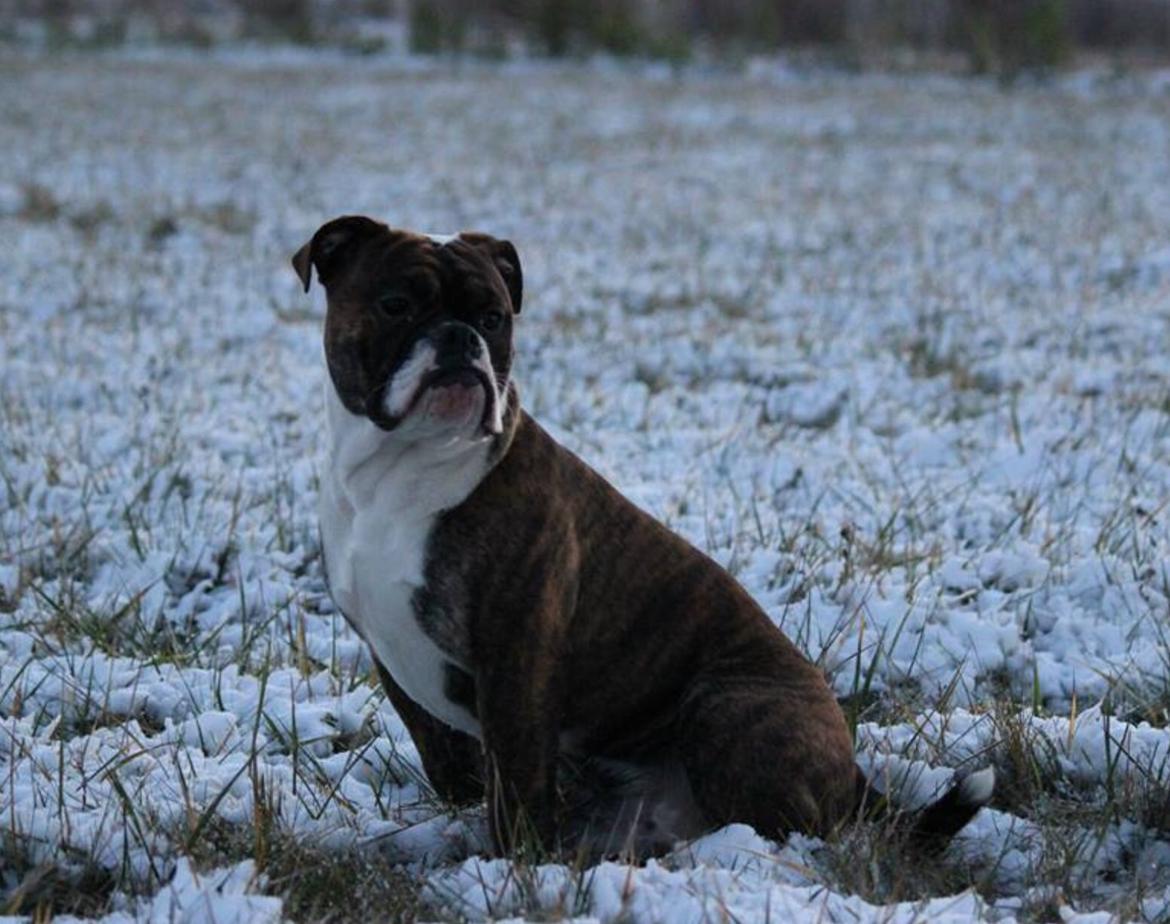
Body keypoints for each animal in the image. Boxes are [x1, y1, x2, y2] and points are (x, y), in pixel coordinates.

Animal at [287, 217, 992, 860]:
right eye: (395, 305)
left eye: (493, 317)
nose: (461, 338)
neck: (402, 468)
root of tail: (852, 773)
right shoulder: (391, 649)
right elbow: (443, 753)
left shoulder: (516, 652)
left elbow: (515, 776)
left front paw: (513, 863)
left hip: (725, 703)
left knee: (797, 821)